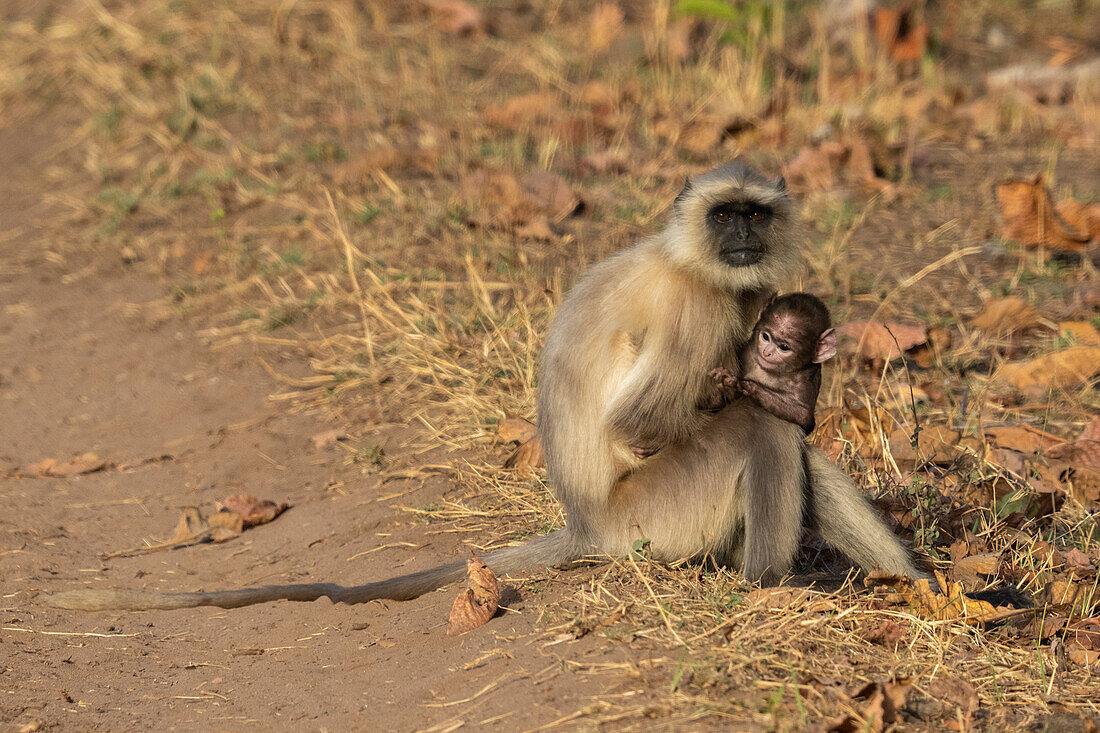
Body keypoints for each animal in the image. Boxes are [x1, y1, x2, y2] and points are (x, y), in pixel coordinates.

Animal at [708, 292, 836, 433]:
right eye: (765, 337)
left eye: (784, 347)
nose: (766, 352)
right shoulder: (745, 351)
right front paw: (720, 384)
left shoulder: (805, 380)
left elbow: (803, 415)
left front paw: (745, 385)